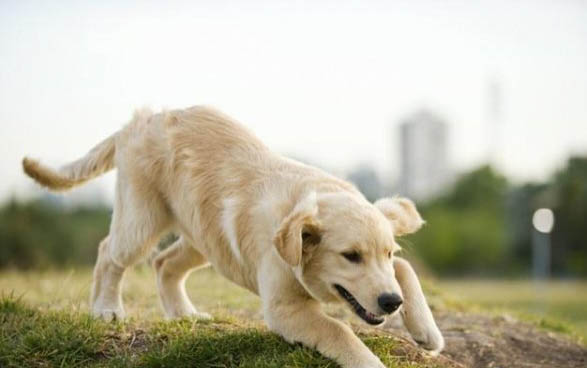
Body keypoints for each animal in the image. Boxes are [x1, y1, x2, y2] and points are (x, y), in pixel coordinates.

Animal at [23, 105, 446, 366]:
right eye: (350, 256)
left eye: (386, 253)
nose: (391, 302)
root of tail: (142, 120)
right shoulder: (285, 309)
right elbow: (338, 330)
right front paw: (369, 360)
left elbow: (406, 270)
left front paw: (426, 330)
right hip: (141, 220)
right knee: (109, 252)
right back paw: (106, 308)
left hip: (204, 238)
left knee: (163, 263)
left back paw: (184, 314)